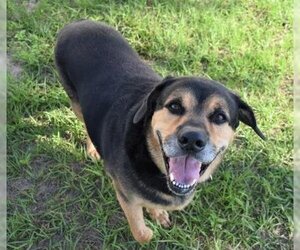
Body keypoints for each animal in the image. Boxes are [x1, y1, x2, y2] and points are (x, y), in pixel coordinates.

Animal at [54, 20, 264, 243]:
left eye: (220, 117)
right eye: (174, 106)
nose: (192, 140)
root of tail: (77, 22)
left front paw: (157, 214)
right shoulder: (126, 196)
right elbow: (141, 232)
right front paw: (148, 233)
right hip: (75, 100)